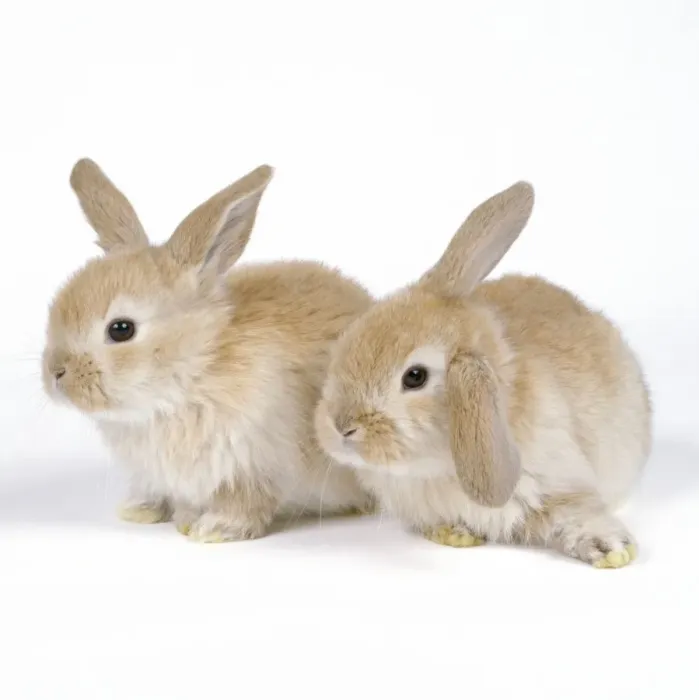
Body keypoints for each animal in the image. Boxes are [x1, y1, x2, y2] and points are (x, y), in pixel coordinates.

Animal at [42, 158, 375, 542]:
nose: (56, 374)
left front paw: (212, 530)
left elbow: (246, 503)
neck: (197, 367)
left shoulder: (256, 463)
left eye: (121, 329)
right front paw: (142, 511)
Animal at [314, 180, 651, 568]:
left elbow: (576, 515)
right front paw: (455, 535)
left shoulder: (561, 485)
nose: (340, 426)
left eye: (415, 377)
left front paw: (613, 551)